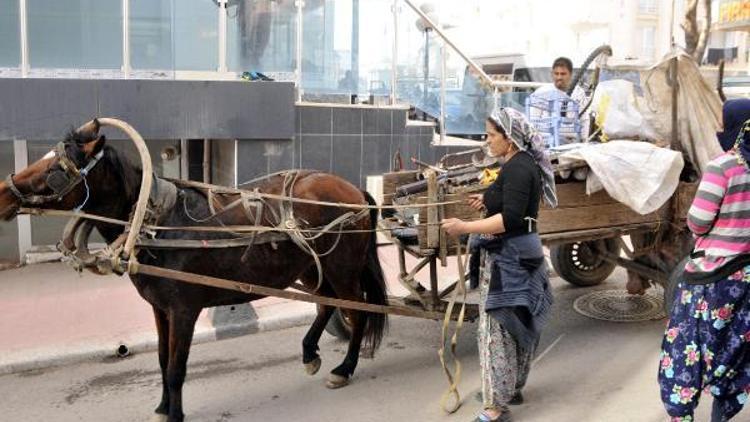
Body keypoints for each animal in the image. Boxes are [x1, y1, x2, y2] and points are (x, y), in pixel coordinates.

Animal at [0, 119, 388, 422]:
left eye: (54, 171)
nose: (3, 192)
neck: (155, 222)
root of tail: (353, 190)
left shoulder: (184, 310)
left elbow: (176, 368)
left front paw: (175, 413)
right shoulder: (160, 308)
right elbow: (161, 360)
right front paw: (162, 407)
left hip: (342, 269)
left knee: (358, 310)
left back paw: (345, 368)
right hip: (310, 269)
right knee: (326, 305)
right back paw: (309, 353)